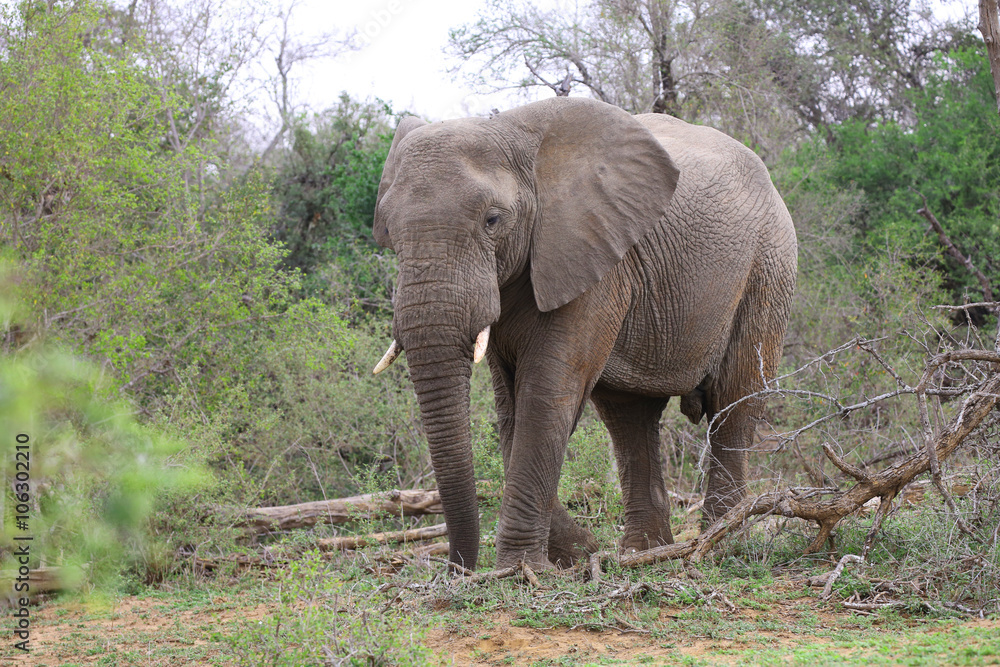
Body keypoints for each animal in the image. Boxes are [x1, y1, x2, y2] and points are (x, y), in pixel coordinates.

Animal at [370, 96, 796, 572]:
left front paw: (520, 571)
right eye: (389, 231)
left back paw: (720, 544)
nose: (458, 569)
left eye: (493, 220)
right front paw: (578, 553)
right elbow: (510, 409)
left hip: (769, 265)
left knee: (735, 401)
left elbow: (545, 394)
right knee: (628, 415)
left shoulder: (593, 253)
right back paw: (643, 553)